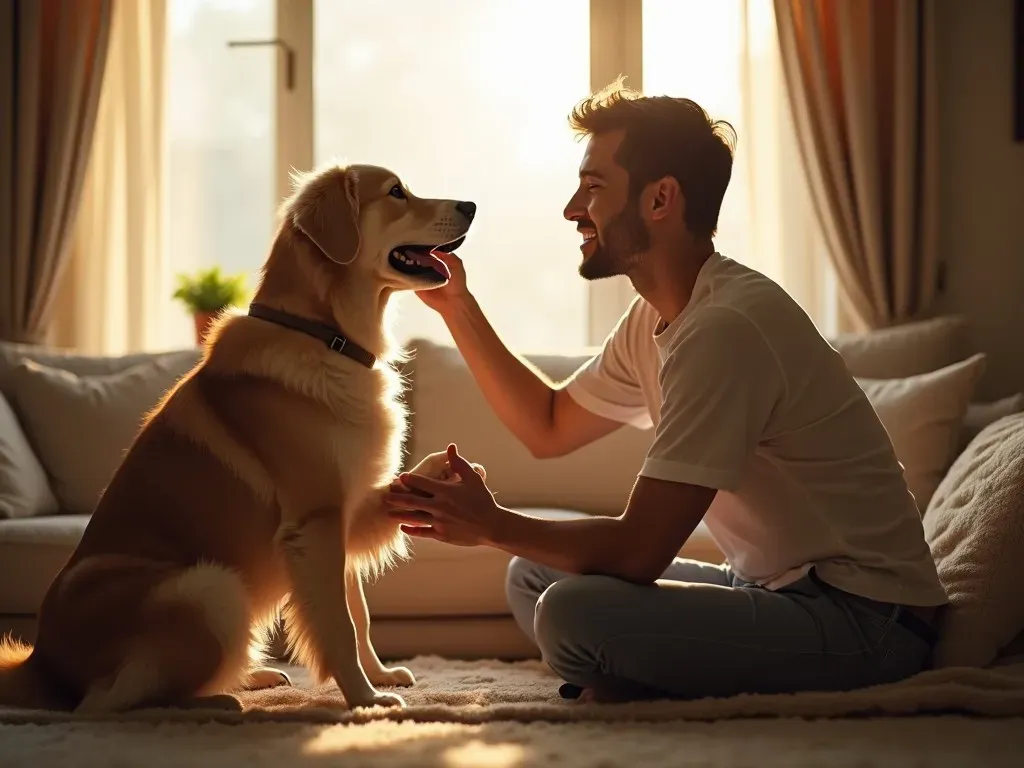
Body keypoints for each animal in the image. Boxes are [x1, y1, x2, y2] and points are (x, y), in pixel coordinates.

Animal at [0, 162, 479, 716]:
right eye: (396, 192)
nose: (471, 205)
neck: (324, 336)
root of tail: (41, 662)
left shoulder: (344, 513)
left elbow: (358, 614)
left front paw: (379, 675)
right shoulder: (315, 522)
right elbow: (338, 623)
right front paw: (365, 698)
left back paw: (251, 678)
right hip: (208, 586)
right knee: (113, 702)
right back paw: (220, 702)